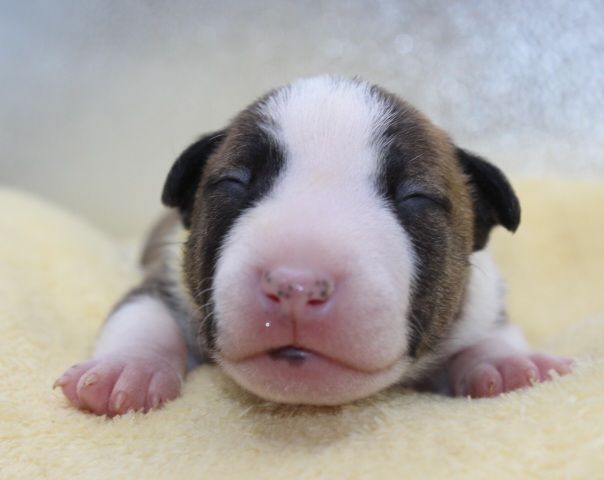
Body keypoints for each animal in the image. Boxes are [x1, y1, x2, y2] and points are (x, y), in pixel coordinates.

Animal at [55, 76, 573, 415]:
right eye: (234, 182)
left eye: (415, 197)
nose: (296, 286)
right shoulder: (164, 277)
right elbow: (141, 314)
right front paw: (124, 370)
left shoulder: (479, 299)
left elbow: (494, 329)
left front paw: (509, 365)